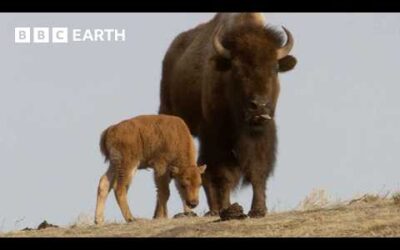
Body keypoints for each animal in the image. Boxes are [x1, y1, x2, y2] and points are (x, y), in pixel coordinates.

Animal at [159, 13, 296, 217]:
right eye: (237, 69)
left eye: (275, 68)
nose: (259, 106)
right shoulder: (217, 136)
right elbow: (222, 174)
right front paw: (228, 209)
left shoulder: (261, 134)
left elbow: (257, 169)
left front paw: (258, 210)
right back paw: (210, 211)